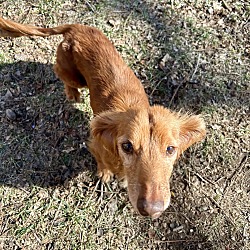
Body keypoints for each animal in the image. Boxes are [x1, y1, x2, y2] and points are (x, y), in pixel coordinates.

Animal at [0, 16, 206, 218]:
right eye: (127, 146)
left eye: (170, 149)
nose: (151, 210)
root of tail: (76, 27)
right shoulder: (96, 144)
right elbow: (103, 163)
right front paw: (105, 174)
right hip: (75, 76)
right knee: (59, 71)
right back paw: (72, 93)